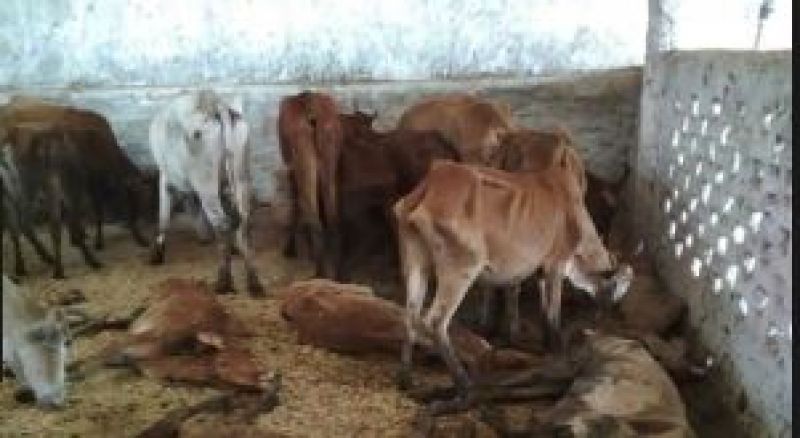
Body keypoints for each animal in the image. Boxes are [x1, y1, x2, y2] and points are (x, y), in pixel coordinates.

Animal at [0, 97, 150, 250]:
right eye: (139, 197)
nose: (145, 220)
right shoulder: (89, 176)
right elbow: (94, 207)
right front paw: (96, 241)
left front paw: (80, 236)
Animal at [148, 90, 263, 296]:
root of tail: (214, 103)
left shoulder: (165, 177)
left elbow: (163, 216)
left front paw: (157, 253)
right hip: (241, 176)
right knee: (242, 223)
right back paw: (254, 282)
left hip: (206, 183)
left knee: (223, 224)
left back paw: (223, 282)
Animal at [277, 91, 344, 278]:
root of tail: (310, 106)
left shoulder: (292, 166)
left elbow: (296, 201)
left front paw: (290, 249)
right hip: (329, 152)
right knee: (332, 218)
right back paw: (339, 276)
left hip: (303, 157)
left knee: (314, 217)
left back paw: (319, 273)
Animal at [393, 149, 633, 402]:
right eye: (614, 288)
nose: (603, 317)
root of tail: (429, 188)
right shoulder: (555, 264)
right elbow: (554, 314)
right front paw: (558, 351)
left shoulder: (541, 272)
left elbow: (544, 311)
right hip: (461, 270)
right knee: (435, 321)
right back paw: (465, 387)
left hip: (415, 263)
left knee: (410, 312)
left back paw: (406, 379)